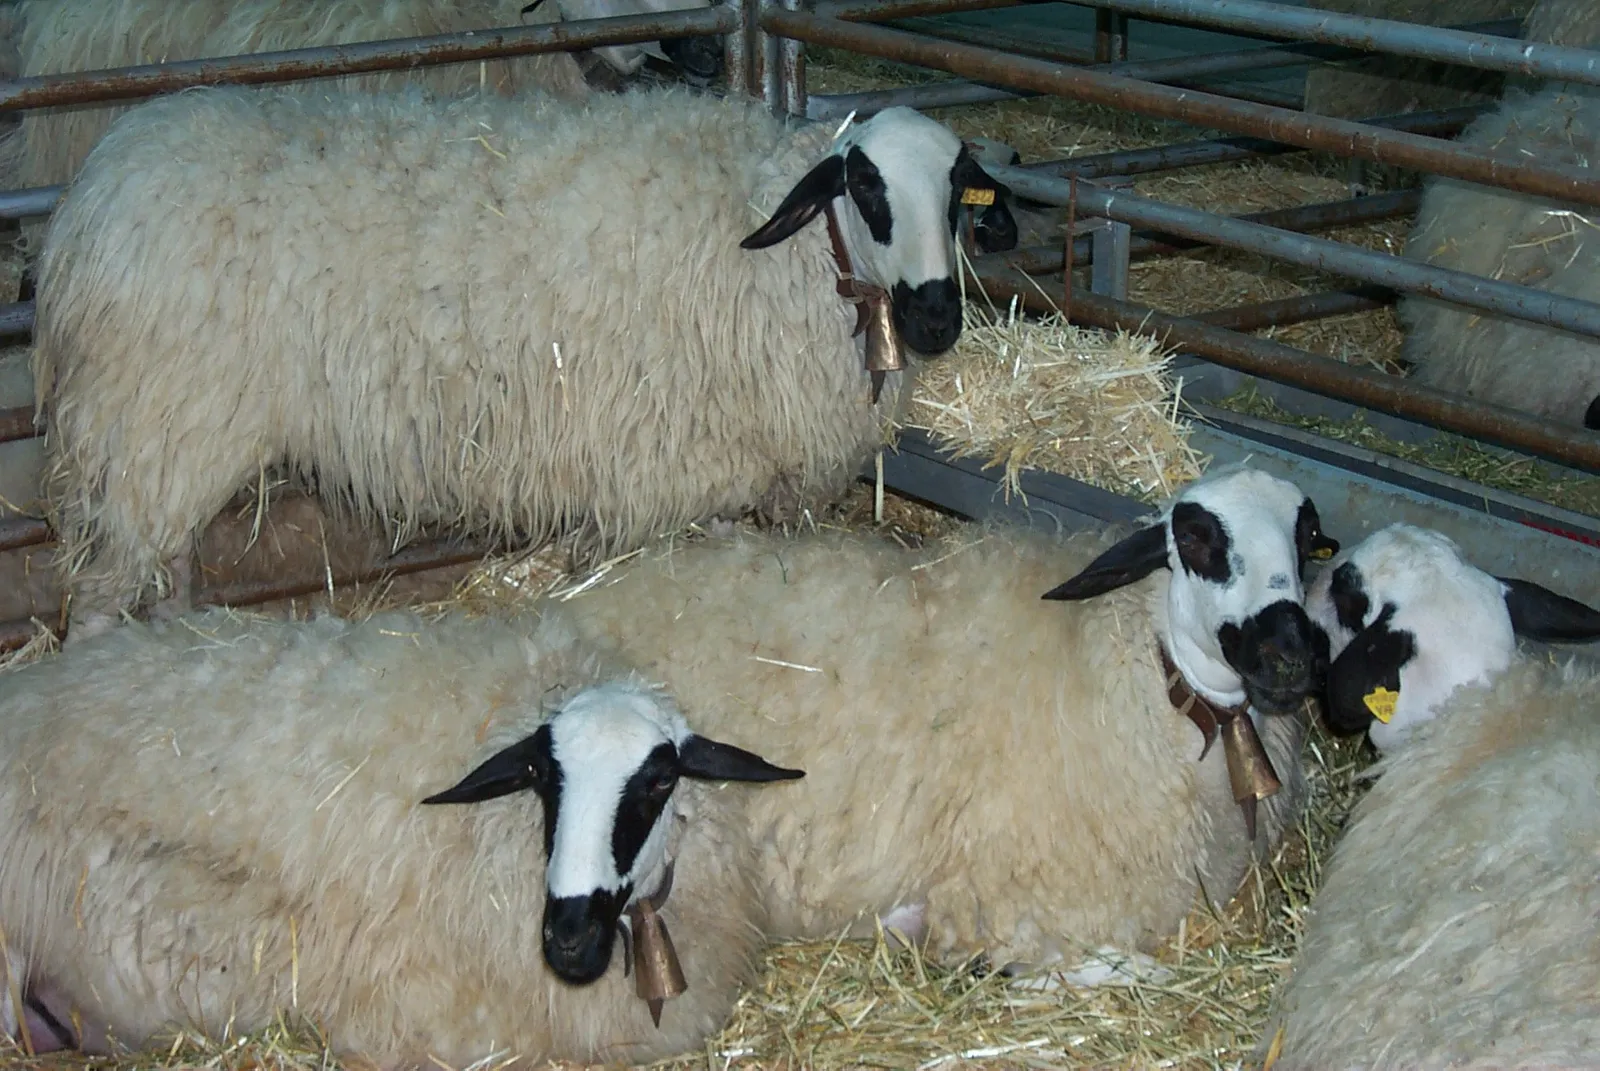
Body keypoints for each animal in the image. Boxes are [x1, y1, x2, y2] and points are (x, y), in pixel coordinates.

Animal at [34, 84, 1014, 637]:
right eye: (865, 185)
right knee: (101, 594)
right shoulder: (676, 473)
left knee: (166, 566)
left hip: (166, 439)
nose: (936, 317)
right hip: (152, 421)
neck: (795, 257)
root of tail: (91, 197)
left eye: (957, 193)